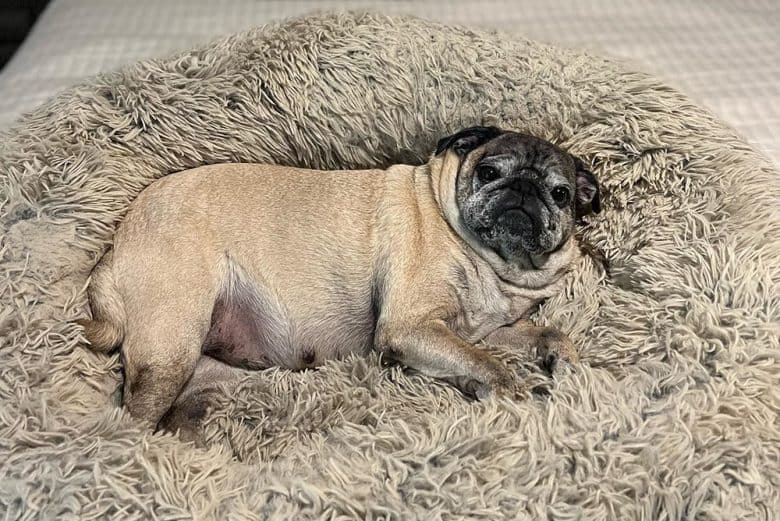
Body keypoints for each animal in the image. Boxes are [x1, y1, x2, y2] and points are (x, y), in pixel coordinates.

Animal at [79, 126, 600, 434]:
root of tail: (116, 247)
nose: (524, 191)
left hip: (202, 374)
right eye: (489, 172)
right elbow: (489, 363)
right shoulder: (410, 328)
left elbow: (541, 334)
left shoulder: (482, 330)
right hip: (170, 346)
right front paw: (516, 392)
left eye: (561, 194)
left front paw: (563, 362)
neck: (490, 262)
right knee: (132, 417)